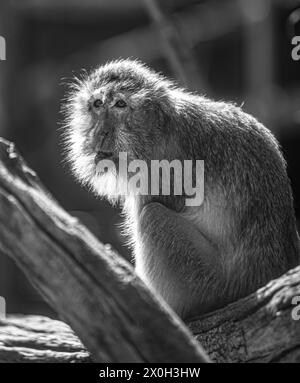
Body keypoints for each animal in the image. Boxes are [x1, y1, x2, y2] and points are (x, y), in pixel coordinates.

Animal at [62, 58, 298, 320]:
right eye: (97, 104)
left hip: (210, 284)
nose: (99, 132)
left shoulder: (158, 172)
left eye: (120, 105)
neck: (159, 129)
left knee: (153, 216)